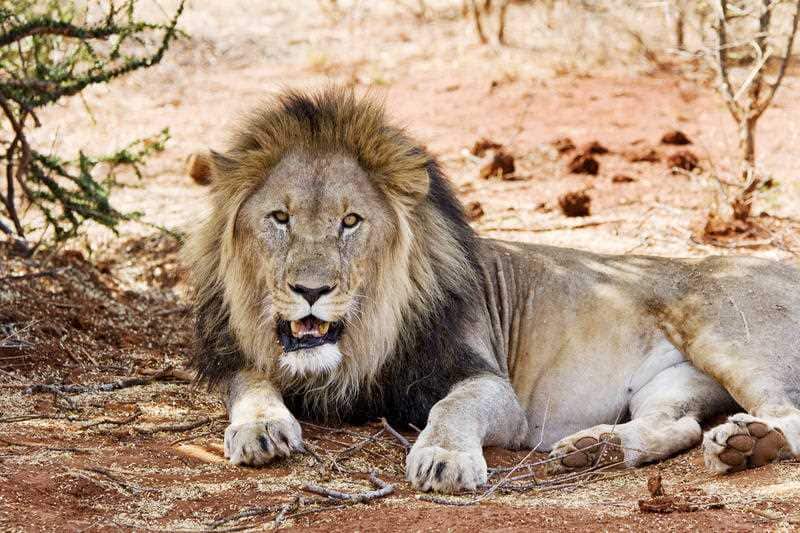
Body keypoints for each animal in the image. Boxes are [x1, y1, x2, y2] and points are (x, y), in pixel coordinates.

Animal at [184, 88, 800, 494]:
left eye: (350, 221)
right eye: (280, 218)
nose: (310, 289)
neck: (362, 338)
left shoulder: (491, 385)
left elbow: (453, 406)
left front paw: (443, 459)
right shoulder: (236, 356)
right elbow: (251, 382)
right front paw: (260, 428)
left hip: (722, 334)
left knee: (786, 414)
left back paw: (749, 444)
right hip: (672, 384)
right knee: (681, 424)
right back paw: (594, 450)